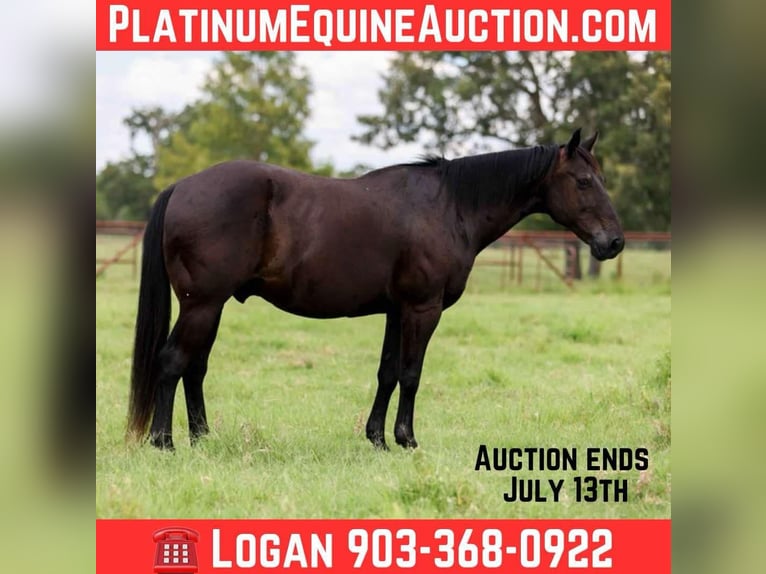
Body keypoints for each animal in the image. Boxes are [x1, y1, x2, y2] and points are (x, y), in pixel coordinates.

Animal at [127, 128, 624, 451]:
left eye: (601, 179)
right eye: (584, 181)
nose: (614, 242)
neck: (449, 206)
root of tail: (182, 186)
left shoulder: (395, 310)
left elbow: (387, 372)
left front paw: (377, 439)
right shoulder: (422, 309)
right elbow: (411, 373)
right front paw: (406, 439)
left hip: (209, 307)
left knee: (194, 368)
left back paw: (202, 437)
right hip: (202, 305)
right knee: (172, 362)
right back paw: (164, 442)